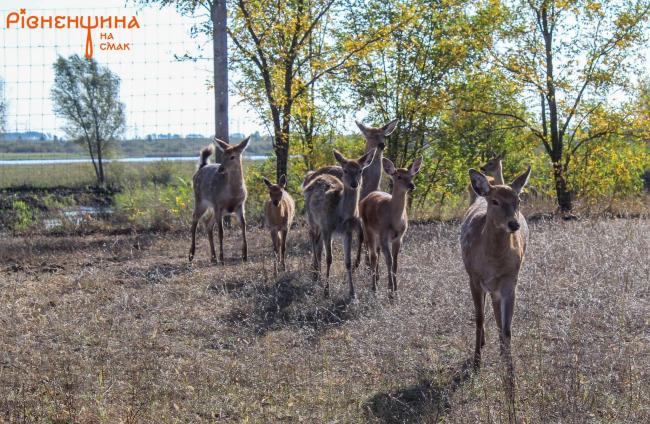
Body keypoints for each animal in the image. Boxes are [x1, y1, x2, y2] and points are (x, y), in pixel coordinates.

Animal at [187, 136, 251, 264]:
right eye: (222, 155)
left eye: (232, 156)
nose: (221, 169)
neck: (233, 194)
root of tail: (202, 167)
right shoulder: (219, 205)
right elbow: (221, 232)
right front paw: (222, 258)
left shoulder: (240, 205)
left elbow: (244, 227)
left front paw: (245, 256)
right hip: (200, 200)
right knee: (195, 219)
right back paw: (192, 255)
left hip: (215, 208)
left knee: (207, 223)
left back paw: (213, 257)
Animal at [302, 149, 374, 298]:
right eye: (345, 170)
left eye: (360, 170)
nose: (354, 184)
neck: (341, 214)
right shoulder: (327, 227)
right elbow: (329, 258)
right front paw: (326, 291)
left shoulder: (348, 231)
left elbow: (348, 262)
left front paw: (352, 292)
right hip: (312, 218)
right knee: (312, 236)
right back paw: (316, 273)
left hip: (320, 226)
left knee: (317, 243)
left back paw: (317, 273)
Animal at [360, 156, 420, 294]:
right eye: (398, 176)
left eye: (411, 175)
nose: (412, 185)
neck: (395, 222)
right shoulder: (384, 235)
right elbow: (389, 260)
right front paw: (390, 290)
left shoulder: (399, 237)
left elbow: (395, 262)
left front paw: (395, 289)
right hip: (368, 228)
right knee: (373, 255)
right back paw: (374, 287)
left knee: (376, 253)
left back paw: (377, 278)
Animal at [458, 164, 528, 370]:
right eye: (495, 201)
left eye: (518, 200)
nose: (514, 224)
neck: (492, 262)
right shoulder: (473, 278)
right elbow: (479, 318)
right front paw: (476, 362)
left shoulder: (511, 281)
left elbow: (507, 328)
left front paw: (509, 367)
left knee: (497, 312)